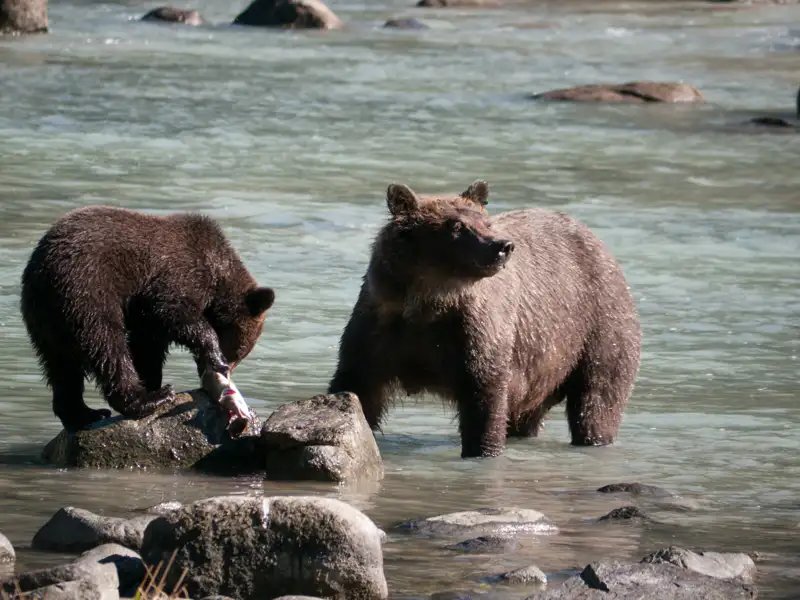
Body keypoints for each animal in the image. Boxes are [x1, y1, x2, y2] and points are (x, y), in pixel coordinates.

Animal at [20, 205, 275, 433]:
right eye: (237, 353)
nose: (222, 373)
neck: (217, 275)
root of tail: (39, 271)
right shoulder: (176, 275)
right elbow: (172, 313)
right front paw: (209, 355)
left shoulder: (146, 314)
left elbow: (148, 345)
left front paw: (152, 380)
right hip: (86, 292)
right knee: (107, 346)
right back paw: (149, 400)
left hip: (46, 320)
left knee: (62, 368)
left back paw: (85, 414)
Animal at [328, 180, 641, 458]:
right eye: (455, 225)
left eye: (485, 222)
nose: (502, 245)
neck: (428, 302)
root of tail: (600, 245)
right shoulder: (379, 325)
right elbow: (357, 384)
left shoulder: (477, 331)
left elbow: (485, 394)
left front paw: (483, 450)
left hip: (597, 325)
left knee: (597, 398)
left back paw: (593, 436)